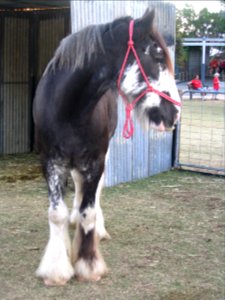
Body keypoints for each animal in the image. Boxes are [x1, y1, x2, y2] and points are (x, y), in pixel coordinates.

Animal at [33, 8, 181, 286]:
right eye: (157, 55)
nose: (174, 113)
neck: (69, 108)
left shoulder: (95, 161)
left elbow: (88, 211)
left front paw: (88, 265)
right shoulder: (51, 161)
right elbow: (56, 213)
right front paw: (56, 270)